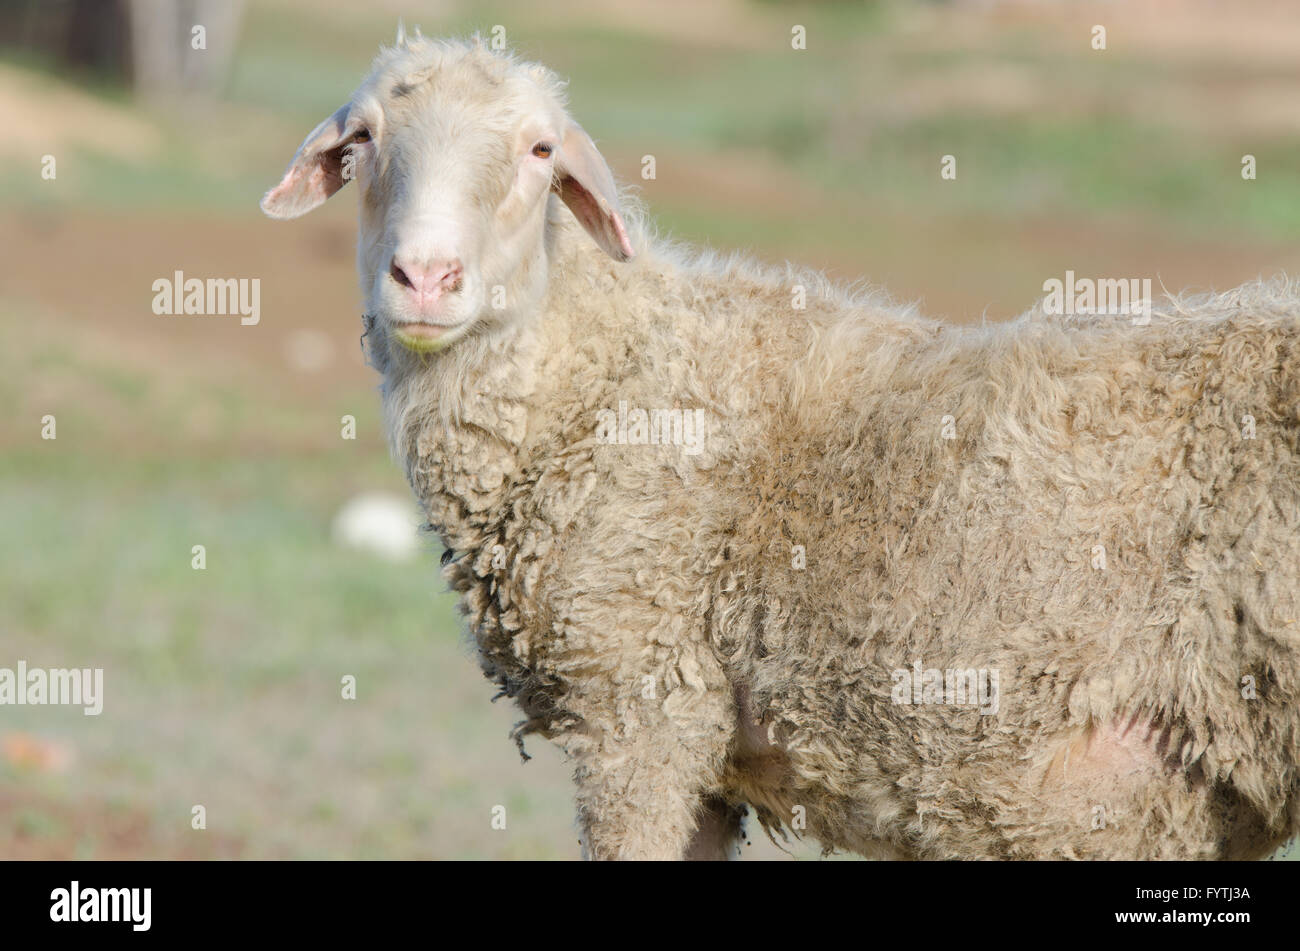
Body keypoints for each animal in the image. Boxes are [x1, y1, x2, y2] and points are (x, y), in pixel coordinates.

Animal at [261, 31, 1300, 860]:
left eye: (539, 149)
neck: (608, 371)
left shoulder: (640, 705)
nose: (425, 277)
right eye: (362, 141)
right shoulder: (709, 753)